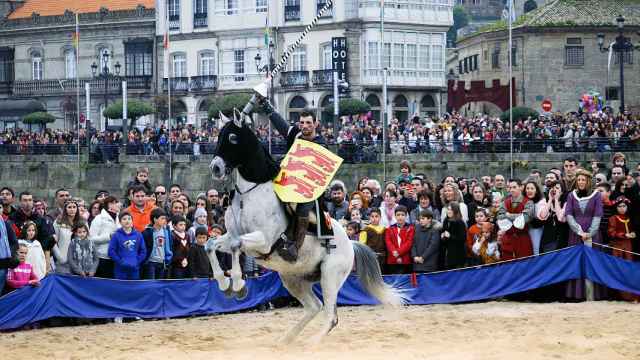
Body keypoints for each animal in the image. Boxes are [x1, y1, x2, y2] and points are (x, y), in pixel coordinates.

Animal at [208, 116, 402, 344]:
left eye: (232, 137)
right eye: (219, 135)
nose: (215, 168)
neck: (248, 196)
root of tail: (351, 244)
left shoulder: (264, 241)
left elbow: (236, 245)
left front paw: (238, 285)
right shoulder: (231, 235)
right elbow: (211, 245)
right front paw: (224, 284)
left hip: (329, 277)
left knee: (330, 316)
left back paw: (312, 343)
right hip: (292, 278)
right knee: (314, 307)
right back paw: (285, 341)